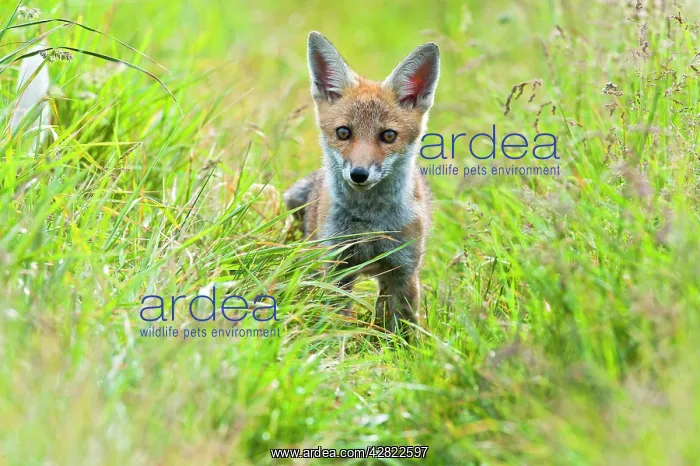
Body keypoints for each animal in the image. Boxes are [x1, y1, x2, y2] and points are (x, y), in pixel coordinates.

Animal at [284, 32, 440, 332]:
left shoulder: (403, 271)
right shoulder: (336, 266)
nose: (359, 174)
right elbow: (336, 323)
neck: (369, 221)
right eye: (343, 132)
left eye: (388, 136)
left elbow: (402, 331)